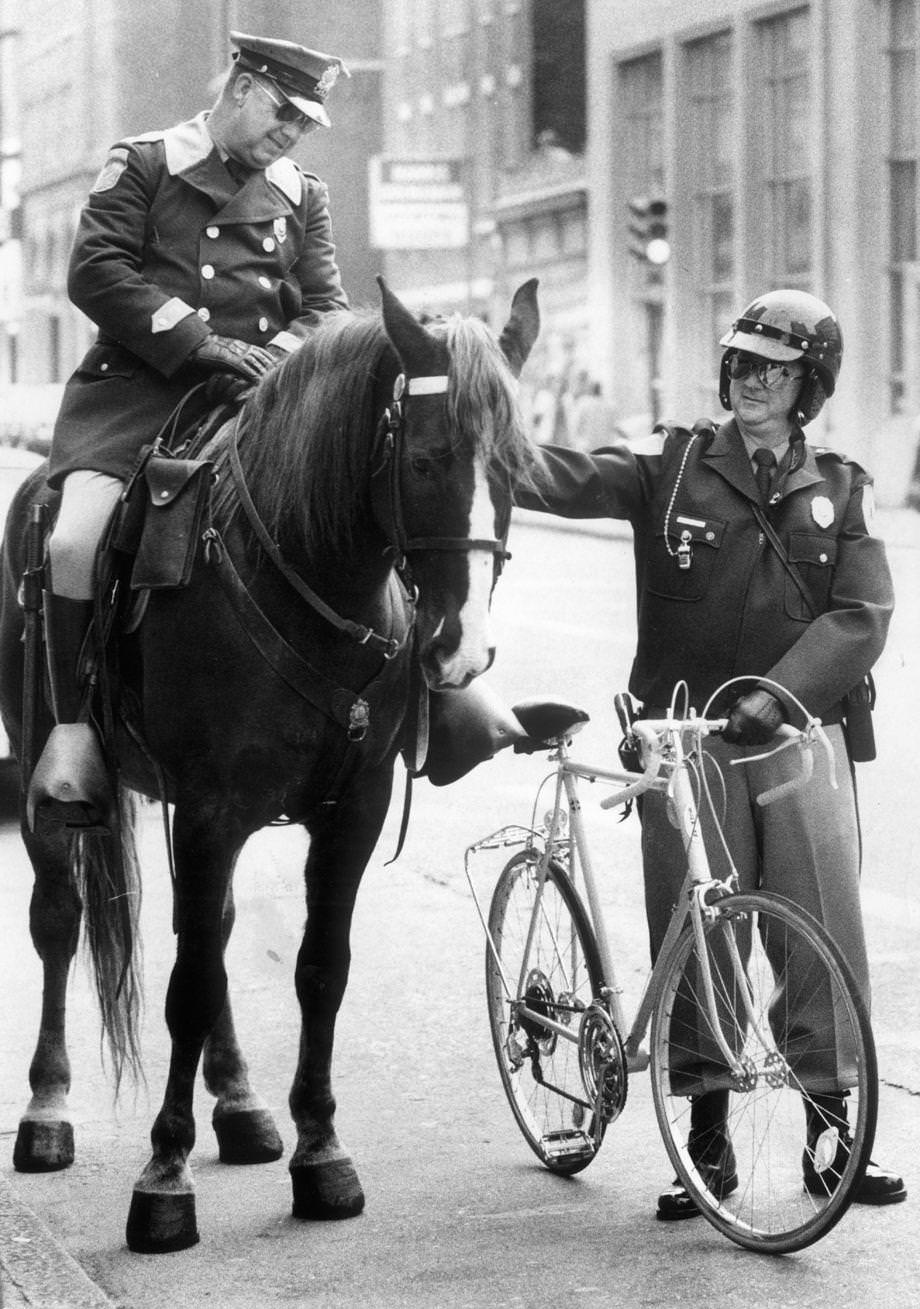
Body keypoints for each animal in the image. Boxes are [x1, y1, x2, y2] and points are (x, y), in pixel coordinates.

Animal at [0, 281, 544, 1251]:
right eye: (428, 459)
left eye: (519, 464)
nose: (463, 648)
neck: (305, 574)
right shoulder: (212, 809)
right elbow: (184, 985)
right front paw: (163, 1176)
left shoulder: (351, 810)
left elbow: (317, 969)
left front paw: (320, 1151)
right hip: (39, 773)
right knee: (60, 921)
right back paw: (48, 1109)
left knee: (210, 932)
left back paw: (241, 1103)